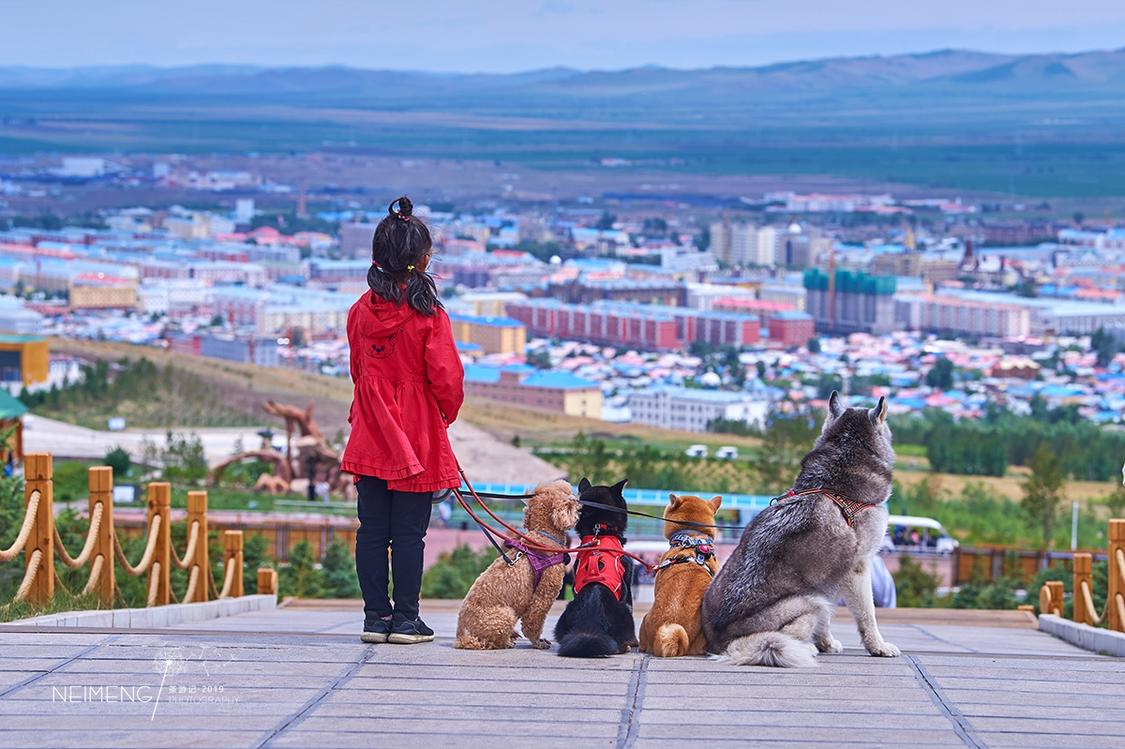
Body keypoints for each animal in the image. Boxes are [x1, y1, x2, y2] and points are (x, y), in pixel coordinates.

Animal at [454, 480, 579, 650]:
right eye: (569, 496)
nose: (579, 502)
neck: (543, 536)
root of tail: (461, 637)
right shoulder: (543, 595)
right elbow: (533, 622)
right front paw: (538, 642)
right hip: (505, 615)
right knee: (490, 641)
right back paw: (506, 641)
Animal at [702, 392, 899, 667]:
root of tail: (721, 643)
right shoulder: (857, 568)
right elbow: (867, 614)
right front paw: (878, 647)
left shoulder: (830, 577)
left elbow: (827, 619)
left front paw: (826, 643)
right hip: (808, 600)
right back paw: (804, 648)